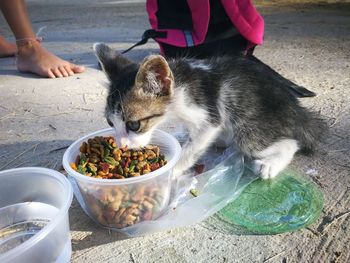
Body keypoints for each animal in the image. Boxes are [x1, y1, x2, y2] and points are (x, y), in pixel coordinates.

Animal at [93, 43, 326, 179]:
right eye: (110, 123)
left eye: (134, 124)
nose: (121, 146)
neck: (180, 86)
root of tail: (296, 110)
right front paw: (181, 136)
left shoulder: (210, 116)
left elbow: (193, 147)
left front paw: (173, 170)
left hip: (249, 127)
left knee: (289, 142)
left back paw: (270, 164)